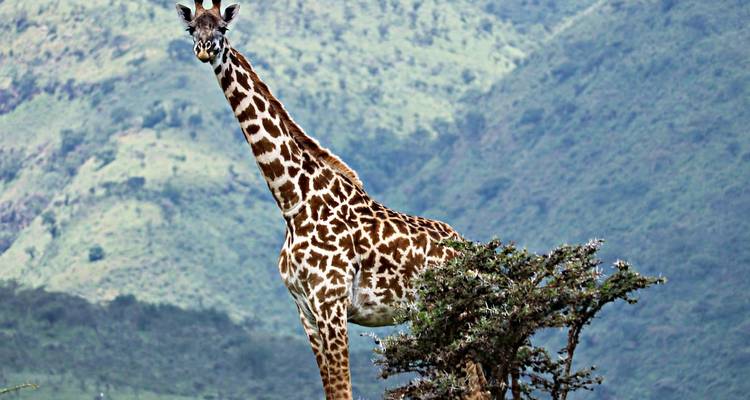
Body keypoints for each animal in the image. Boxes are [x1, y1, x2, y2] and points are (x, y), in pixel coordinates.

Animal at [175, 2, 489, 399]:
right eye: (191, 29)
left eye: (223, 28)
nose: (205, 49)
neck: (293, 201)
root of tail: (469, 251)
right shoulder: (305, 310)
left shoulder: (332, 303)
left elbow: (343, 390)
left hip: (456, 314)